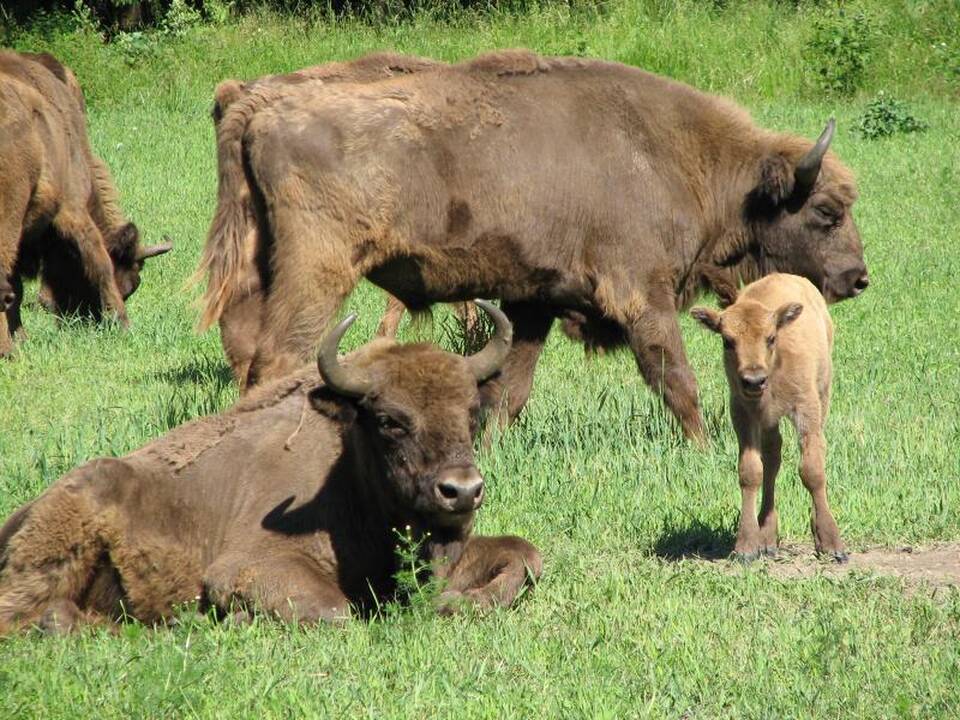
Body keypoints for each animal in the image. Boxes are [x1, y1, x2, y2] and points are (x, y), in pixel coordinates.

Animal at [0, 49, 171, 356]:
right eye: (130, 284)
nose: (82, 320)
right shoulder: (73, 206)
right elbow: (98, 259)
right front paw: (123, 323)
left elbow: (15, 288)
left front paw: (21, 335)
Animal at [0, 300, 540, 632]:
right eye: (389, 420)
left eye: (471, 413)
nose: (462, 491)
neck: (348, 472)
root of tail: (21, 516)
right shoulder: (244, 568)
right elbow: (336, 610)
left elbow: (526, 555)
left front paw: (454, 603)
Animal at [197, 50, 872, 442]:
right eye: (826, 211)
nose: (858, 278)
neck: (676, 156)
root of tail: (259, 103)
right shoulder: (642, 296)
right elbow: (675, 378)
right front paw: (703, 448)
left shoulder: (533, 303)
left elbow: (509, 388)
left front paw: (490, 446)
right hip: (319, 272)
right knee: (280, 358)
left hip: (256, 263)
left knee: (247, 351)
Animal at [688, 274, 848, 564]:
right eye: (727, 341)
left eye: (771, 338)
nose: (753, 380)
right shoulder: (744, 413)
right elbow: (751, 471)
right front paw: (747, 545)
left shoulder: (806, 408)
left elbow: (812, 469)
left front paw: (832, 544)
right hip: (770, 422)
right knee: (773, 460)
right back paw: (768, 536)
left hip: (823, 392)